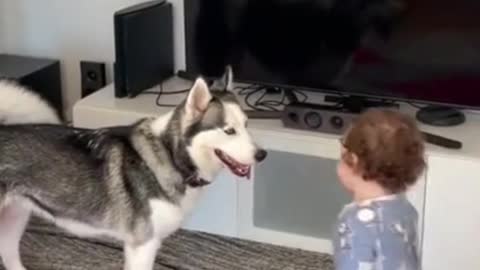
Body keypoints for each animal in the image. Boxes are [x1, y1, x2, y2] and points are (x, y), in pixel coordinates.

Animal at [0, 68, 266, 270]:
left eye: (246, 125)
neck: (169, 153)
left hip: (14, 217)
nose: (262, 155)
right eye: (229, 130)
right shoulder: (143, 246)